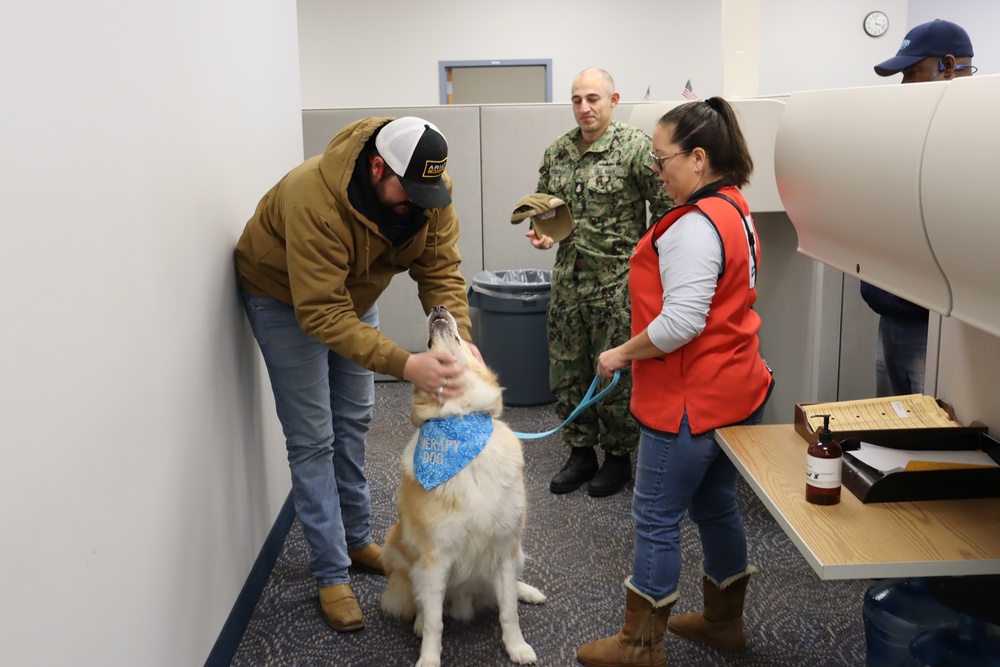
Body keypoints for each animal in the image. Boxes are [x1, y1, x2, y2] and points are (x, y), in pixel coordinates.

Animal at [380, 306, 548, 664]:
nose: (438, 308)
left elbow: (509, 611)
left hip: (516, 552)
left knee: (509, 586)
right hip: (399, 552)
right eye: (427, 347)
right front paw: (429, 659)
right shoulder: (435, 560)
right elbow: (435, 623)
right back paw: (417, 622)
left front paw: (517, 647)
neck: (460, 423)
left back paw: (528, 591)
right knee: (419, 603)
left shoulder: (504, 548)